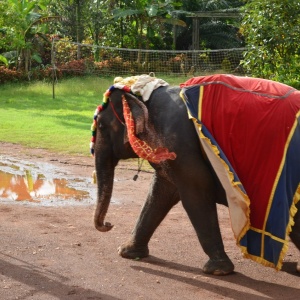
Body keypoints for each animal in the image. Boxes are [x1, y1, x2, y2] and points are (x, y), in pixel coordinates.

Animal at [93, 76, 300, 276]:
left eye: (101, 126)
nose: (109, 224)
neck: (147, 96)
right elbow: (161, 193)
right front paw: (126, 252)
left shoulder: (180, 144)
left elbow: (196, 192)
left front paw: (218, 270)